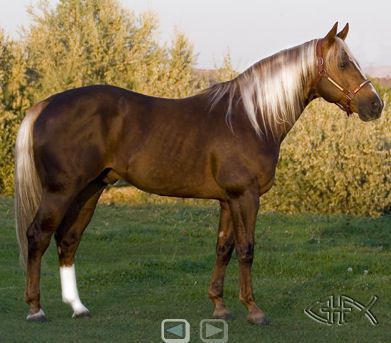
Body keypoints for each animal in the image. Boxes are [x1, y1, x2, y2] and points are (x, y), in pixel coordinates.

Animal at [14, 23, 382, 326]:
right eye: (344, 63)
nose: (375, 105)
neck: (251, 118)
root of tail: (45, 105)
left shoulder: (227, 200)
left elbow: (223, 248)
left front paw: (219, 306)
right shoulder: (245, 196)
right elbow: (247, 249)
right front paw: (254, 311)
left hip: (90, 189)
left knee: (68, 240)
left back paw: (78, 307)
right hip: (61, 191)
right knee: (38, 236)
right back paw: (35, 309)